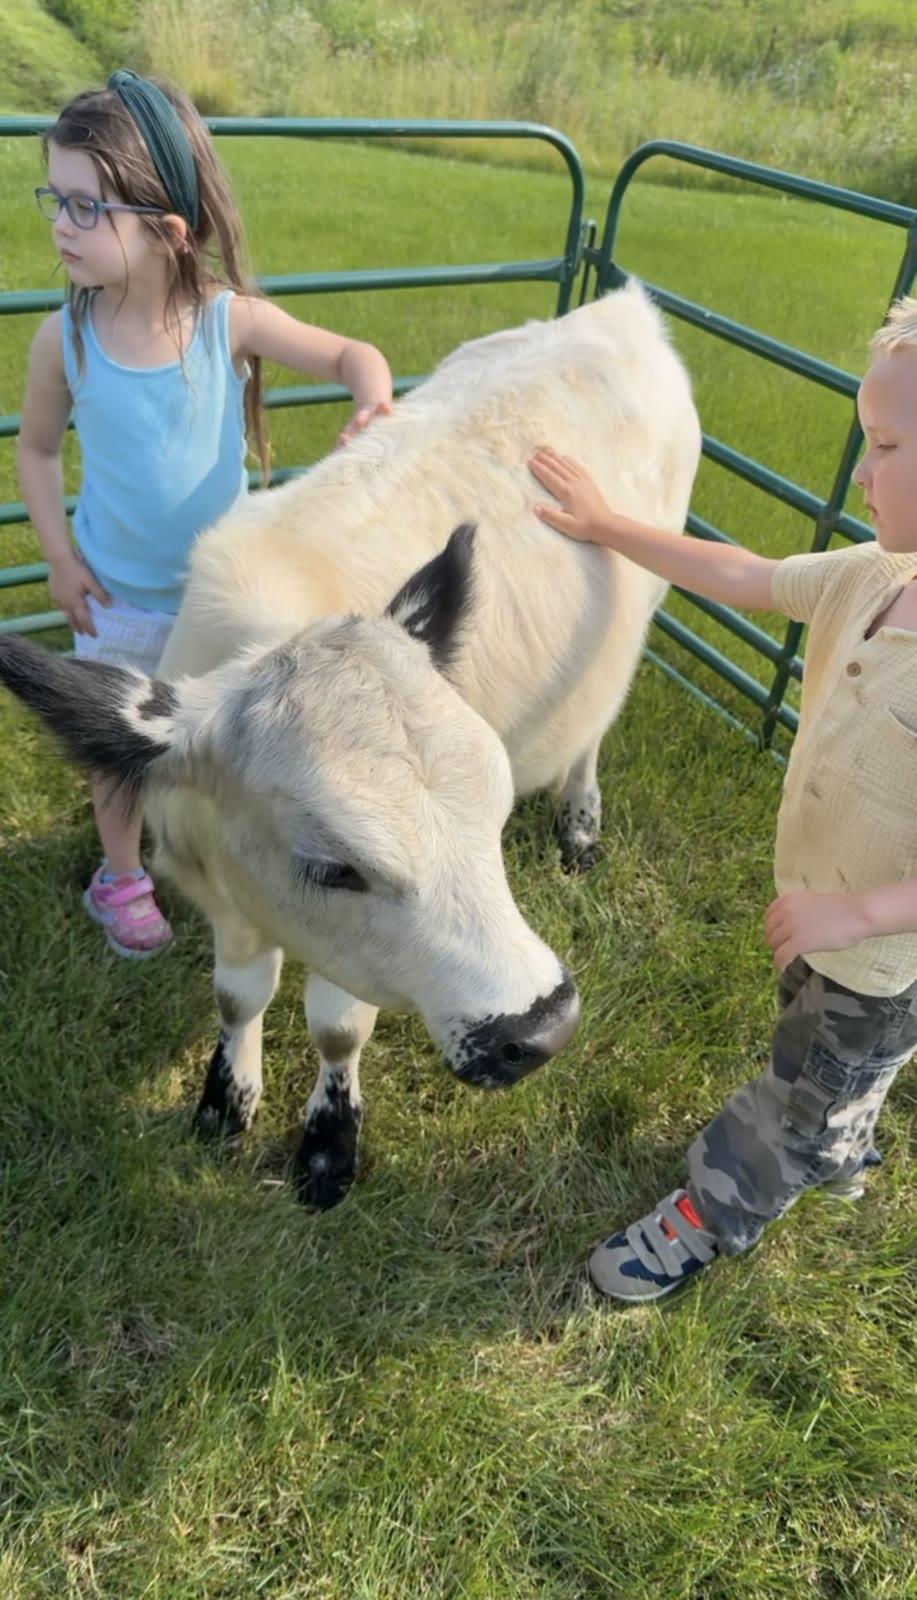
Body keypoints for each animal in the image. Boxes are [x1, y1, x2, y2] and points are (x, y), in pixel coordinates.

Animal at [0, 280, 701, 1207]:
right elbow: (237, 997)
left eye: (492, 814)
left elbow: (335, 1030)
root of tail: (616, 306)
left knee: (593, 727)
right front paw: (224, 1100)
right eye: (333, 867)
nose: (545, 1025)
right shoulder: (222, 890)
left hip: (644, 606)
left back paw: (579, 823)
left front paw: (329, 1144)